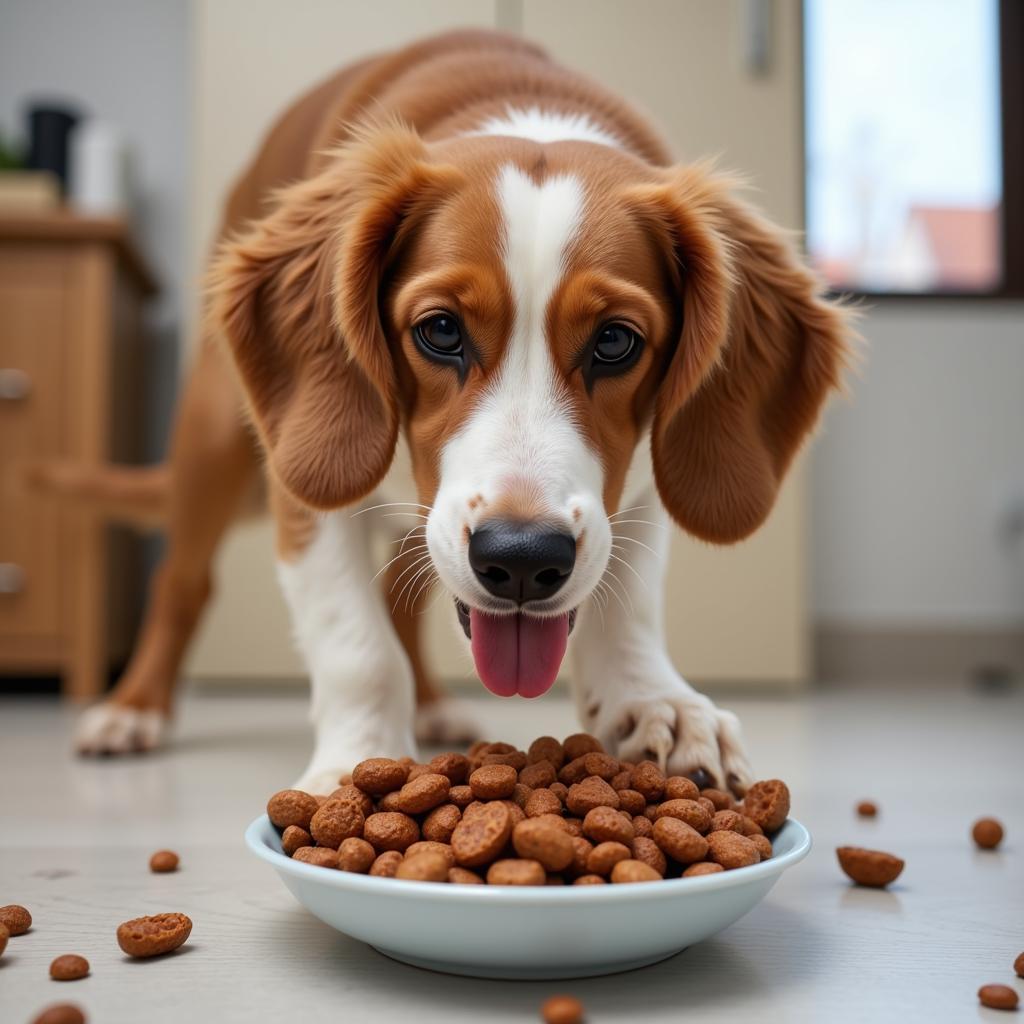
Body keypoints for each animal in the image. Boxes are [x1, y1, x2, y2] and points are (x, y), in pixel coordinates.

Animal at [66, 29, 847, 790]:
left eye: (616, 341)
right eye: (440, 330)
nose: (523, 560)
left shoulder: (646, 481)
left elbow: (628, 606)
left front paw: (654, 702)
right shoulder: (306, 475)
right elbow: (356, 644)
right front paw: (358, 762)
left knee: (400, 596)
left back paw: (435, 705)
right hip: (218, 428)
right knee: (182, 583)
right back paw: (132, 710)